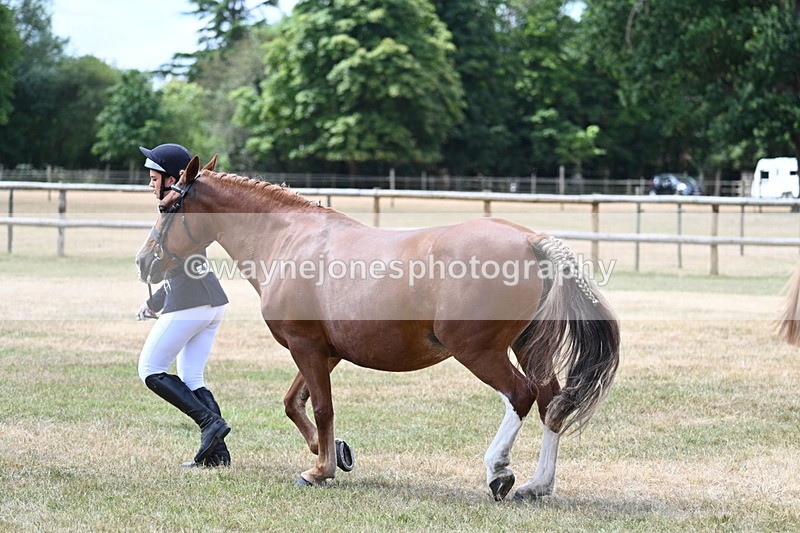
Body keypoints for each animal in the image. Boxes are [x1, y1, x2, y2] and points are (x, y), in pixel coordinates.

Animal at [135, 156, 621, 501]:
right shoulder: (324, 351)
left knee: (520, 396)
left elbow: (321, 408)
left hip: (479, 351)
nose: (144, 262)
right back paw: (538, 486)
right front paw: (334, 453)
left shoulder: (306, 347)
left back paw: (498, 472)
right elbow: (294, 404)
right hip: (526, 347)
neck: (289, 240)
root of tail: (529, 240)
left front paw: (320, 470)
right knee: (551, 403)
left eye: (165, 206)